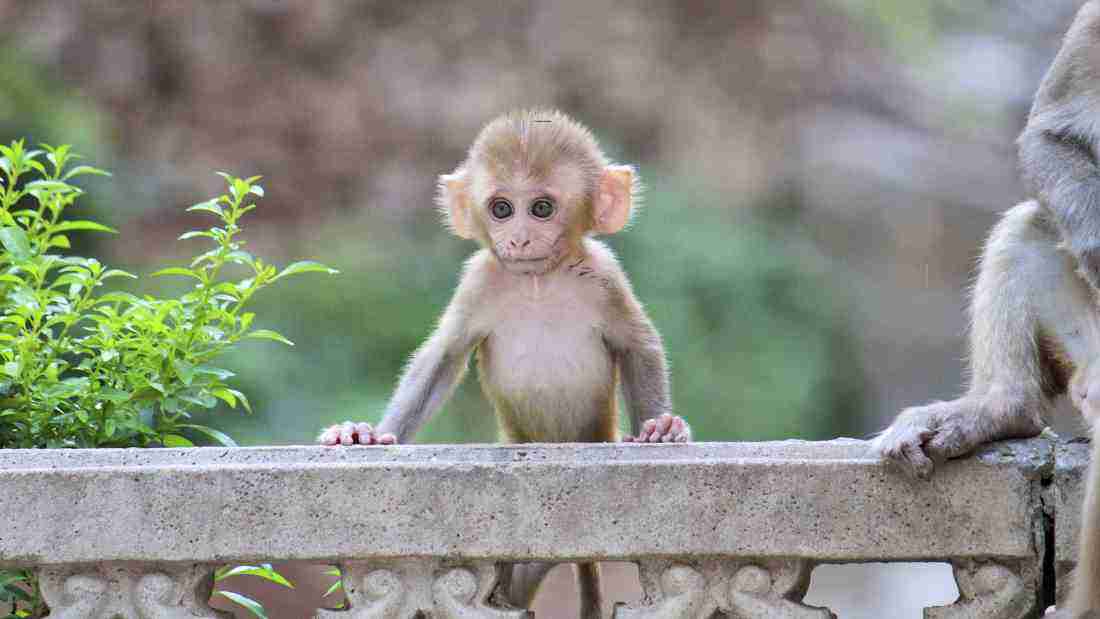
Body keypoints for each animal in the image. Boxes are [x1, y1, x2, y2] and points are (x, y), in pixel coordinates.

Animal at [317, 109, 691, 618]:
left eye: (541, 209)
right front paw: (365, 434)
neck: (538, 281)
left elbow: (639, 346)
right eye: (501, 209)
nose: (518, 238)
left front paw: (660, 429)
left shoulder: (605, 274)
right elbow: (442, 357)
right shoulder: (479, 279)